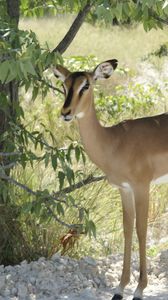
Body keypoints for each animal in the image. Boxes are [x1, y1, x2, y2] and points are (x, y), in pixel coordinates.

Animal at [53, 59, 168, 300]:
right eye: (65, 85)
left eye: (86, 85)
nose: (66, 112)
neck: (115, 142)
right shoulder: (124, 189)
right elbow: (127, 229)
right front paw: (119, 288)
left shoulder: (141, 187)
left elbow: (141, 230)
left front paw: (139, 289)